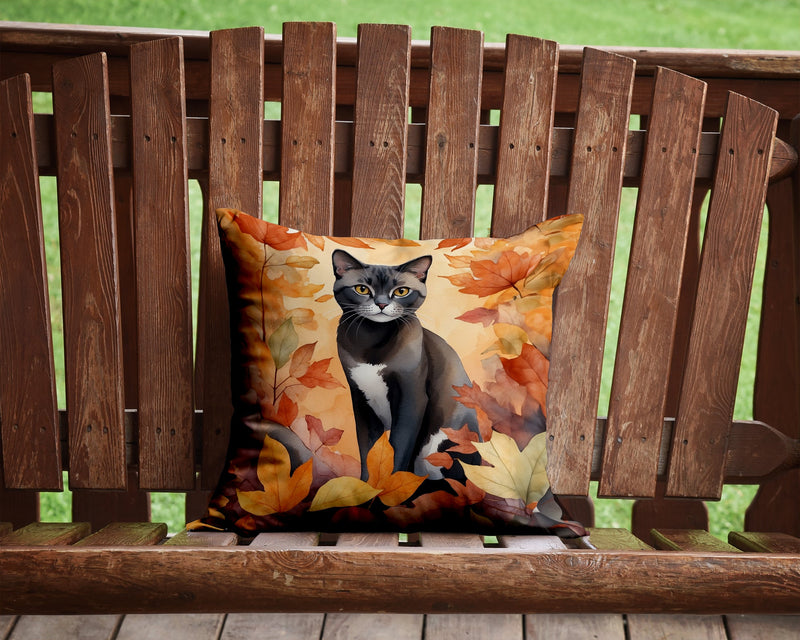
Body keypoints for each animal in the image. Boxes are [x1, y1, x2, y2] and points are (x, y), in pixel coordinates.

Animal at [330, 250, 478, 480]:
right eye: (362, 289)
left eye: (401, 291)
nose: (382, 304)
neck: (373, 341)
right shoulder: (362, 401)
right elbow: (367, 450)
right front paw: (367, 485)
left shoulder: (411, 398)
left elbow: (399, 447)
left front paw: (389, 485)